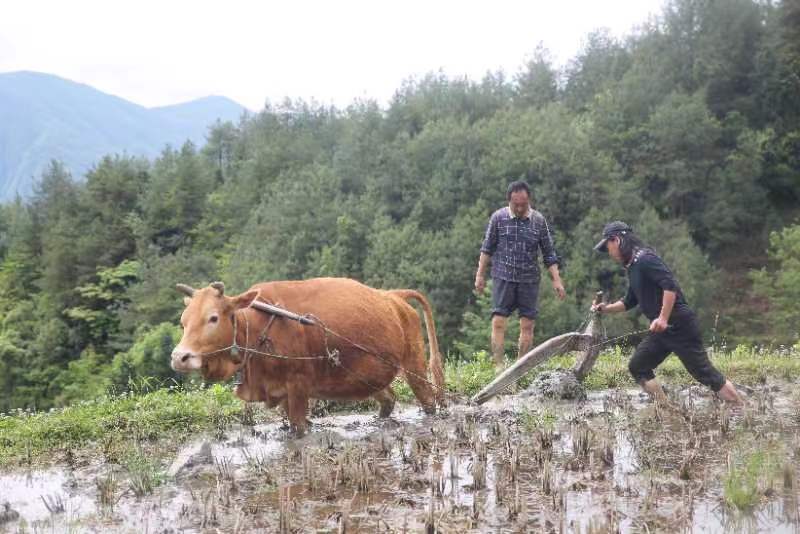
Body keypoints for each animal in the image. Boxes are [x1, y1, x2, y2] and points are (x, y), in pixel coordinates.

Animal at [170, 277, 445, 435]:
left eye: (213, 318)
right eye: (183, 321)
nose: (179, 357)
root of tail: (393, 296)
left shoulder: (298, 385)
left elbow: (299, 430)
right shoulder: (281, 392)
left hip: (414, 364)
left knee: (428, 400)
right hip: (368, 376)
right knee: (388, 399)